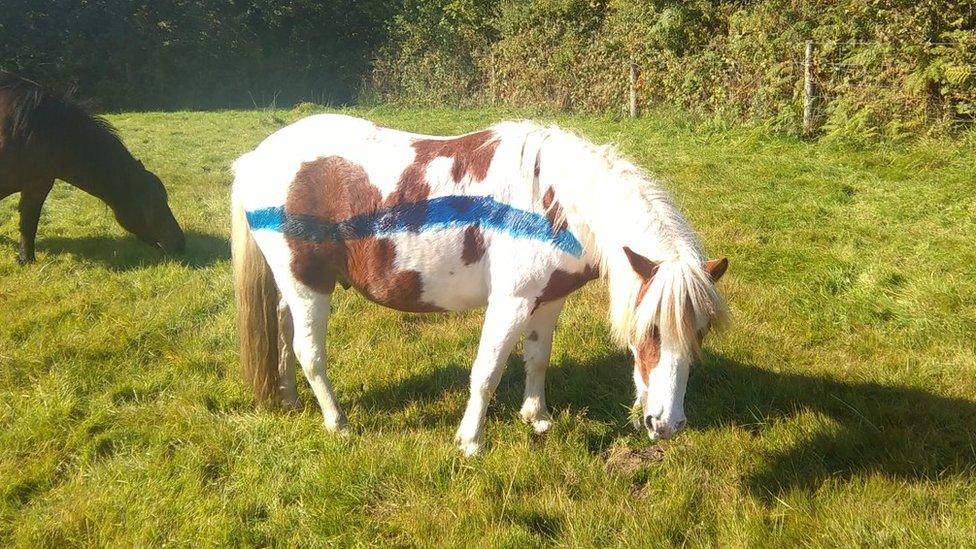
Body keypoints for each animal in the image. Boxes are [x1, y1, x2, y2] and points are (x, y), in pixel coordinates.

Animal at [233, 113, 728, 456]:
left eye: (699, 333)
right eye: (649, 331)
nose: (666, 425)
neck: (552, 203)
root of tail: (254, 159)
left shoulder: (548, 300)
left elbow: (538, 360)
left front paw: (537, 417)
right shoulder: (510, 302)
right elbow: (486, 373)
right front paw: (471, 441)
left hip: (292, 286)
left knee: (283, 332)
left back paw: (289, 398)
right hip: (308, 285)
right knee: (309, 352)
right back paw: (338, 423)